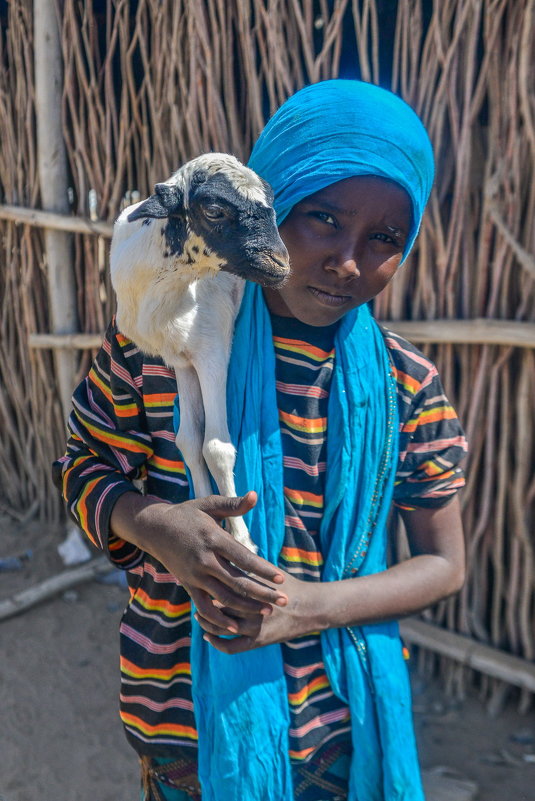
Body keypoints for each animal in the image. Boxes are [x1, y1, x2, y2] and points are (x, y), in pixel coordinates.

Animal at [109, 152, 292, 552]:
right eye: (213, 210)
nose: (281, 264)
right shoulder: (181, 359)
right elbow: (189, 441)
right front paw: (207, 513)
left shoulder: (212, 351)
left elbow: (217, 447)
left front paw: (241, 540)